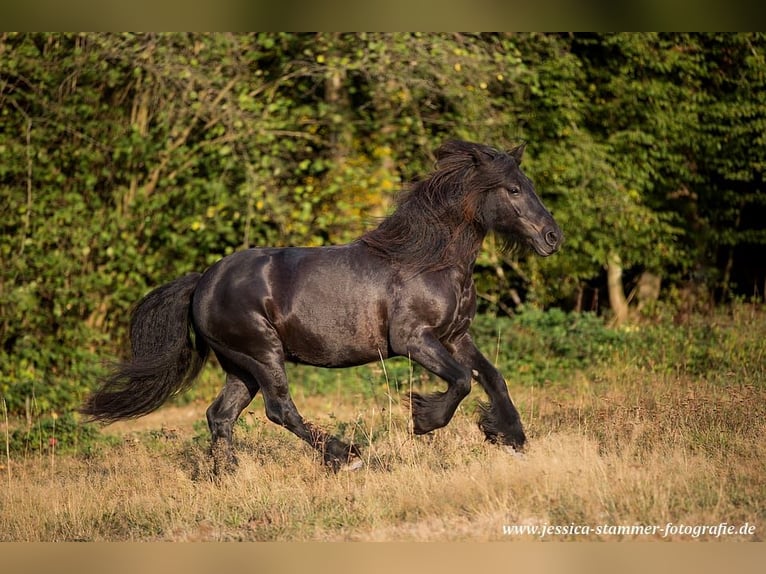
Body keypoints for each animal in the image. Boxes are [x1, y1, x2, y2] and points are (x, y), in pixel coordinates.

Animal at [81, 140, 563, 473]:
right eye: (513, 189)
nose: (552, 237)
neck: (428, 260)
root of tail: (202, 282)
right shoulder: (414, 340)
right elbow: (462, 381)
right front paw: (424, 420)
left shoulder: (455, 336)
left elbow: (492, 377)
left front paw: (510, 436)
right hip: (262, 353)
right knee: (279, 409)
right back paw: (345, 455)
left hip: (240, 366)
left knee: (220, 415)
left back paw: (226, 477)